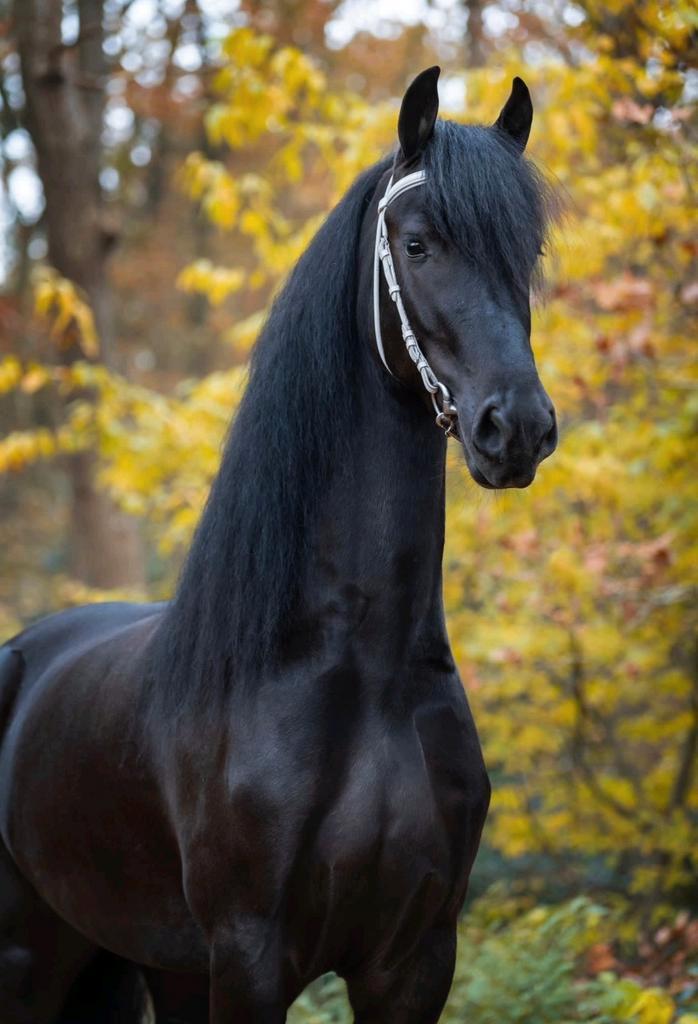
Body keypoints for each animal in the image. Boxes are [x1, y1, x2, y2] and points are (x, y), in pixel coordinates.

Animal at [0, 66, 557, 1023]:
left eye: (526, 254)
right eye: (418, 244)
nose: (515, 428)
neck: (357, 673)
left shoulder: (414, 960)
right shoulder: (251, 960)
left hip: (141, 964)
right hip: (30, 960)